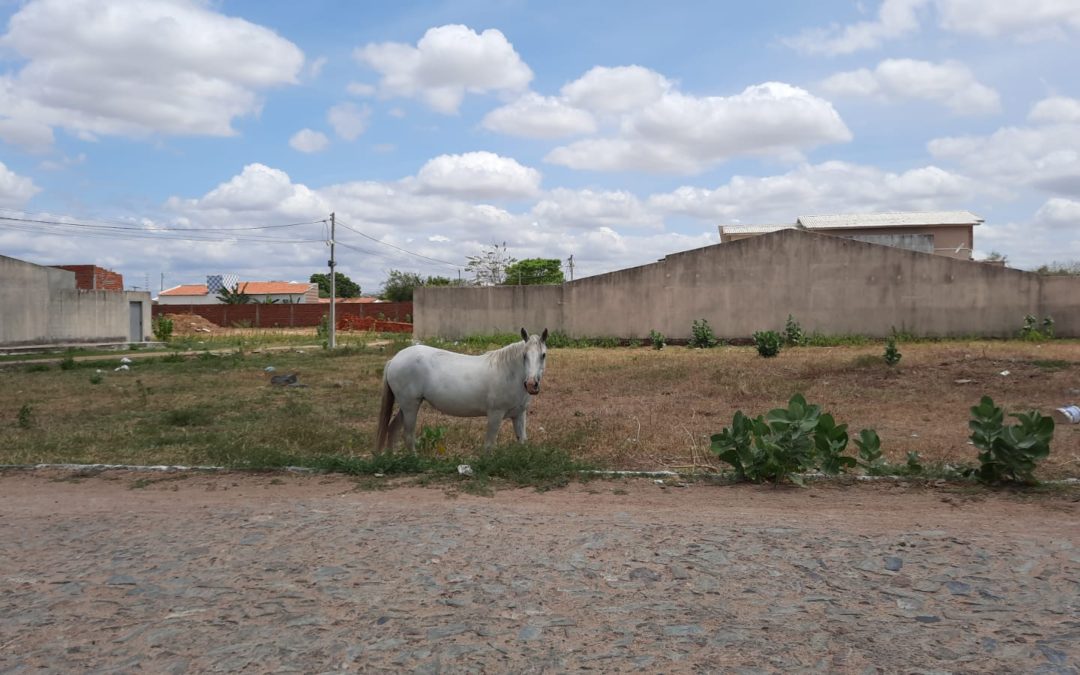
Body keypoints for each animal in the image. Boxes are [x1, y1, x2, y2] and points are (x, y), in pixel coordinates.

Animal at [378, 328, 548, 453]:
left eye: (543, 355)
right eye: (524, 355)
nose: (531, 384)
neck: (509, 373)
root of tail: (394, 359)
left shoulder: (519, 414)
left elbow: (522, 441)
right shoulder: (495, 414)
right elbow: (489, 445)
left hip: (406, 406)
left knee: (393, 429)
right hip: (410, 406)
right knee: (408, 435)